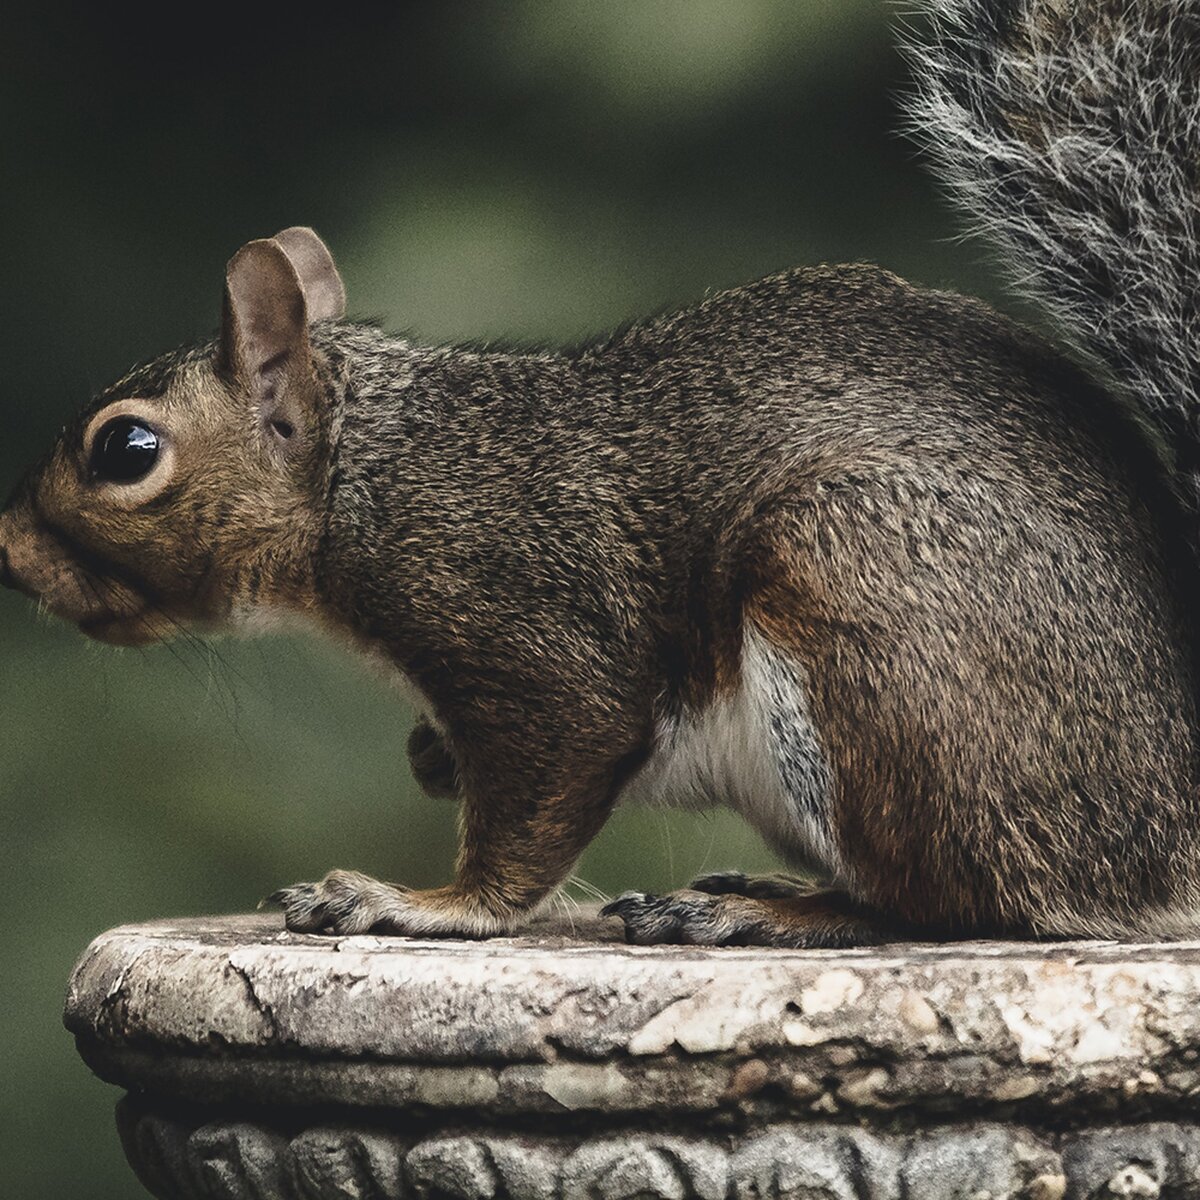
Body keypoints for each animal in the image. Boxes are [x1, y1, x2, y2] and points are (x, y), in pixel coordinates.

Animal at [2, 0, 1200, 950]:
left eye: (126, 451)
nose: (9, 549)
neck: (374, 472)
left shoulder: (530, 631)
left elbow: (538, 806)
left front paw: (417, 903)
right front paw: (430, 759)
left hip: (869, 609)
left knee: (953, 899)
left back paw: (763, 910)